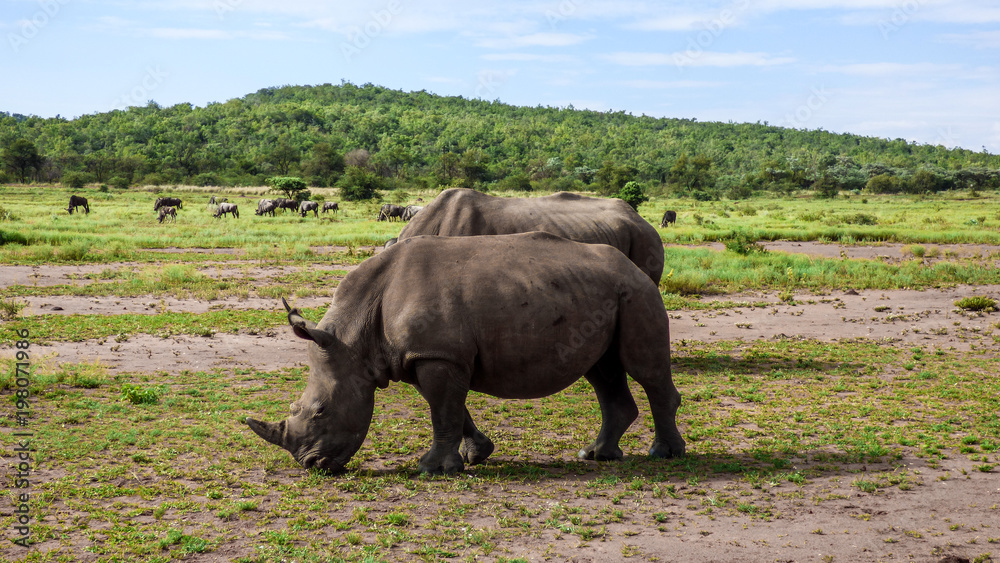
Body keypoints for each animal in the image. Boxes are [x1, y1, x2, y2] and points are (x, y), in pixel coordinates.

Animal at [245, 232, 685, 475]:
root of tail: (635, 267)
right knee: (602, 371)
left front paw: (432, 469)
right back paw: (597, 456)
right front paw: (477, 455)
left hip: (637, 292)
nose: (311, 466)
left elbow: (443, 411)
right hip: (604, 294)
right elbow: (451, 410)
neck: (354, 338)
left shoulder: (436, 354)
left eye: (320, 411)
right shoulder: (429, 356)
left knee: (643, 370)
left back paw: (663, 455)